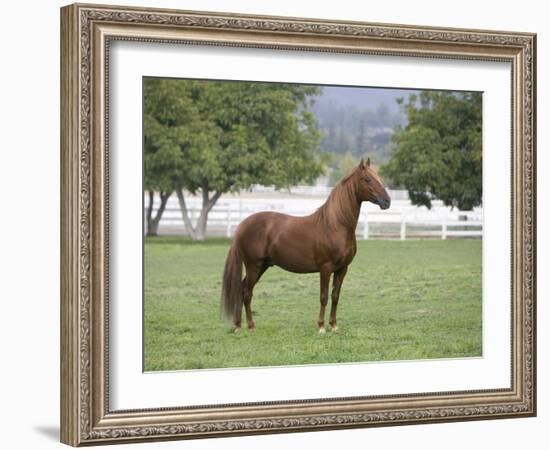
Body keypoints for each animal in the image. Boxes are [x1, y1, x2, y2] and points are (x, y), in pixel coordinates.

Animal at [221, 160, 392, 332]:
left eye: (378, 177)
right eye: (367, 179)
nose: (387, 201)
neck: (335, 225)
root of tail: (243, 224)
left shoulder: (342, 269)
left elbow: (335, 296)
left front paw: (334, 325)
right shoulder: (325, 268)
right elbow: (323, 297)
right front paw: (321, 327)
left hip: (262, 266)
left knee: (243, 289)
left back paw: (240, 325)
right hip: (253, 266)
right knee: (246, 292)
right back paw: (248, 326)